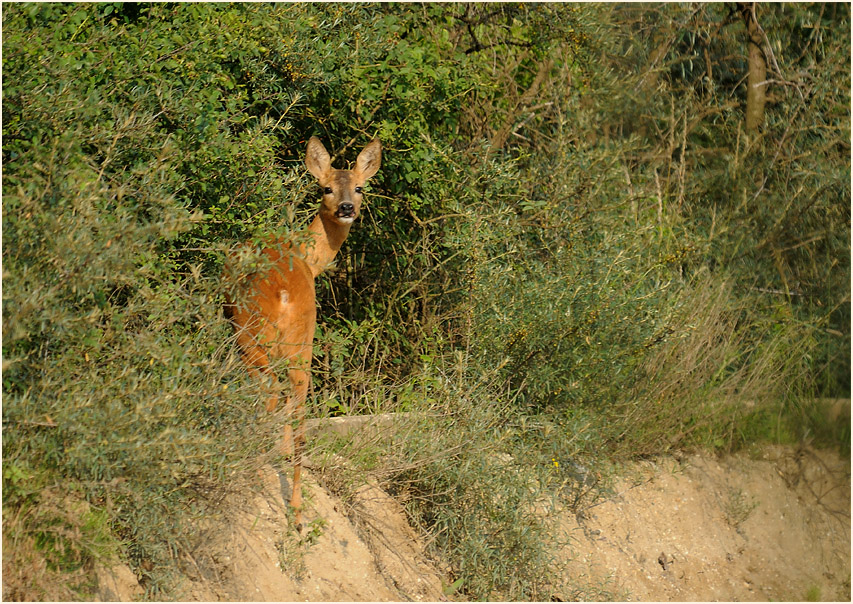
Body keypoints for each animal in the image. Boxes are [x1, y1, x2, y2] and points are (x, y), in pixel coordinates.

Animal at [226, 136, 382, 528]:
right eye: (326, 188)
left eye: (360, 187)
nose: (346, 207)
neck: (310, 260)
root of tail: (283, 293)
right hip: (301, 341)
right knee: (296, 408)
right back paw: (296, 511)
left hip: (253, 334)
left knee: (269, 392)